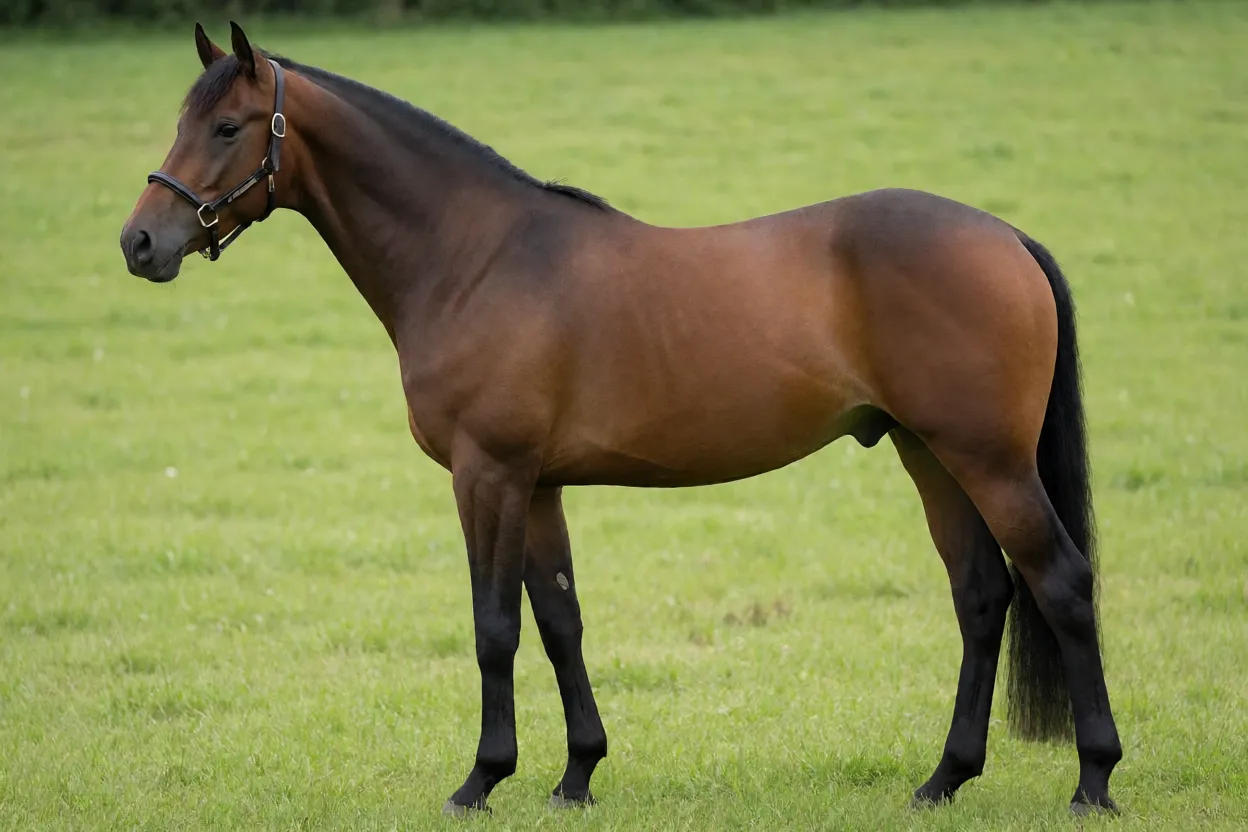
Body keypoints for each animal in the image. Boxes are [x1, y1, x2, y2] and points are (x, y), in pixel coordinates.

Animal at [120, 22, 1122, 817]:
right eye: (183, 121)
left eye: (227, 126)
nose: (139, 242)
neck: (476, 258)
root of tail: (1005, 236)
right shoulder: (539, 485)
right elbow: (559, 619)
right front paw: (575, 776)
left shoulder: (488, 474)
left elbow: (494, 625)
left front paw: (481, 781)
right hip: (929, 455)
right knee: (982, 596)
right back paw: (943, 780)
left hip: (988, 461)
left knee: (1062, 583)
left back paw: (1094, 781)